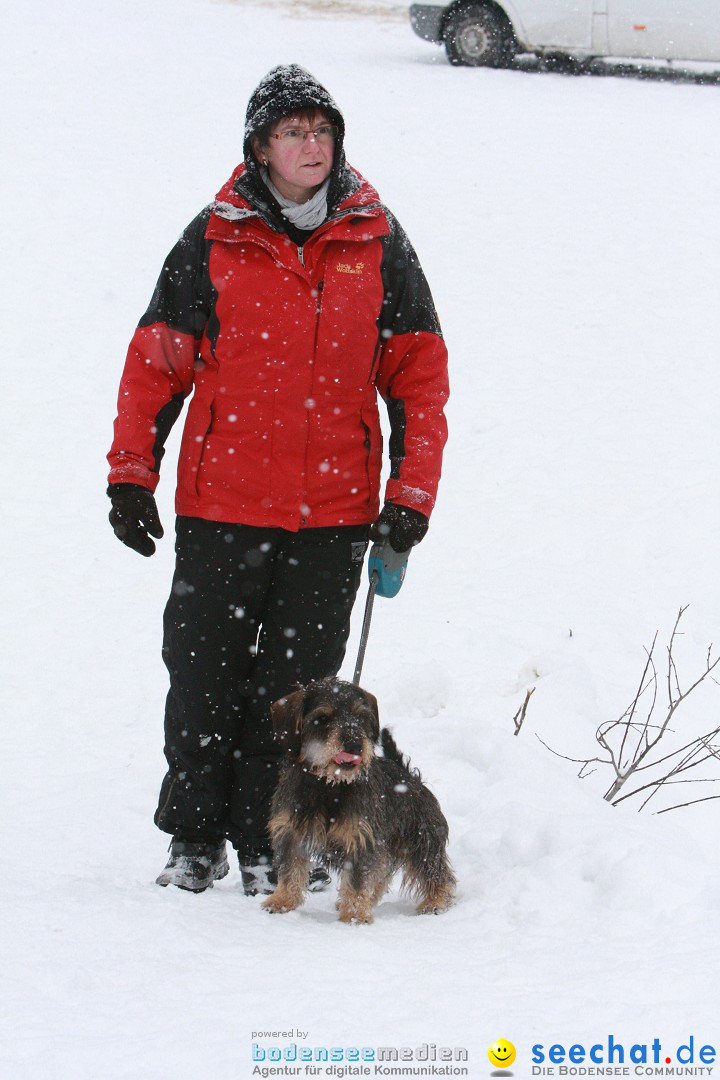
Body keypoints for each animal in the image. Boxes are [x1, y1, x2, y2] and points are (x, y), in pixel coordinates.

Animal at [263, 673, 455, 920]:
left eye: (360, 716)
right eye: (322, 718)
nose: (355, 744)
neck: (329, 783)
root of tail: (409, 777)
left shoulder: (361, 839)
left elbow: (357, 880)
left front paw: (355, 914)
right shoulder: (291, 832)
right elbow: (289, 870)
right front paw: (282, 900)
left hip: (422, 838)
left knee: (433, 870)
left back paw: (436, 900)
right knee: (382, 873)